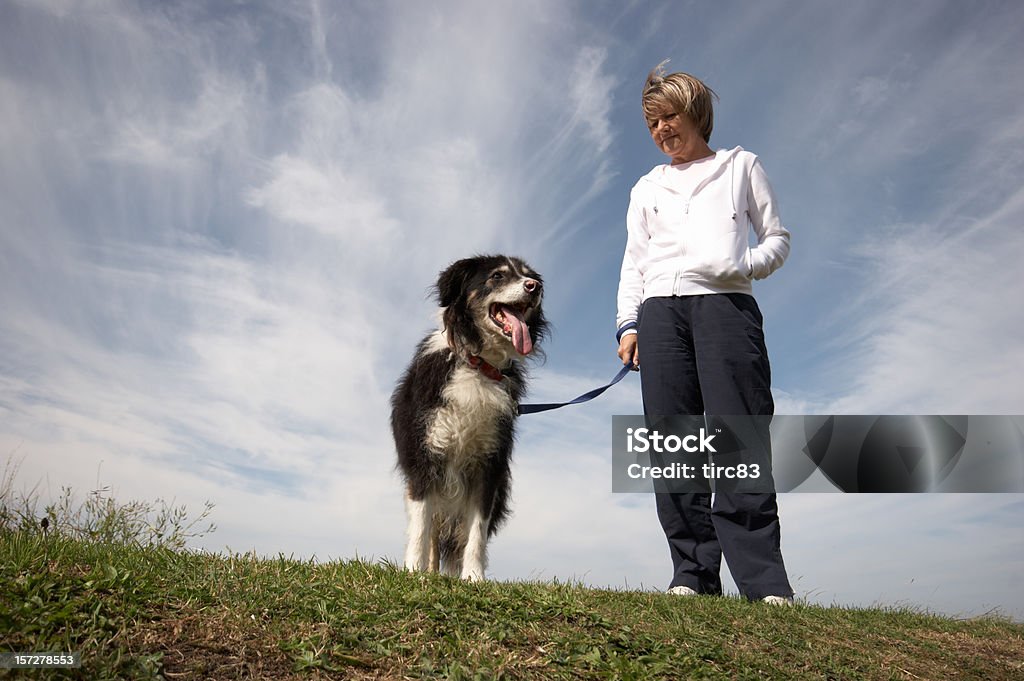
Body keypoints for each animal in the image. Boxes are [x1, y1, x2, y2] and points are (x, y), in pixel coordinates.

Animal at [389, 254, 548, 577]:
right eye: (497, 276)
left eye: (529, 275)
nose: (535, 287)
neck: (478, 364)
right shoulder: (424, 456)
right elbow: (421, 526)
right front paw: (412, 570)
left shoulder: (489, 465)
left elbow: (477, 531)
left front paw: (473, 577)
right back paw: (429, 571)